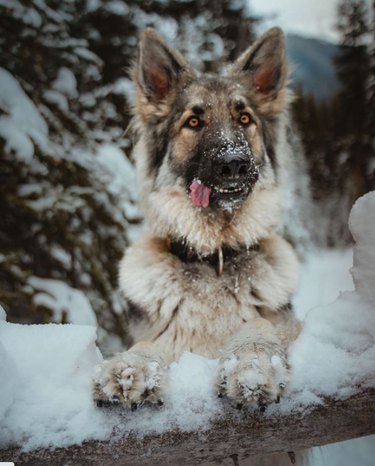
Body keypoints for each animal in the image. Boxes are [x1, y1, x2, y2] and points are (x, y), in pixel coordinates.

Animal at [93, 27, 306, 464]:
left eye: (245, 119)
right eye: (194, 121)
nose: (234, 164)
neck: (215, 258)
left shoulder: (287, 325)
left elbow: (258, 324)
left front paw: (252, 364)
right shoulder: (164, 337)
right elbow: (147, 345)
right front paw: (132, 367)